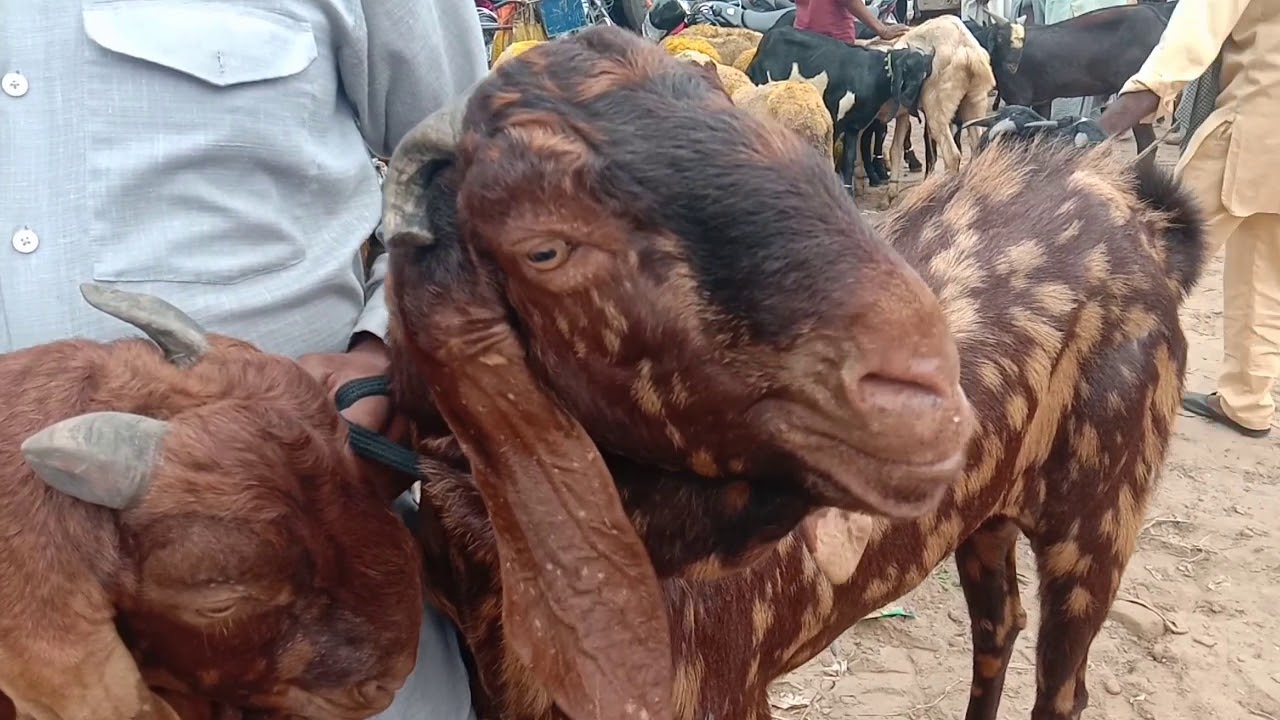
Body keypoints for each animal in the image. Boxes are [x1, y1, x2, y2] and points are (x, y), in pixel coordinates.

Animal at [745, 25, 934, 194]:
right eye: (906, 70)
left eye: (924, 75)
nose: (908, 98)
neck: (870, 74)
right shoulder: (835, 121)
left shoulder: (854, 125)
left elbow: (849, 160)